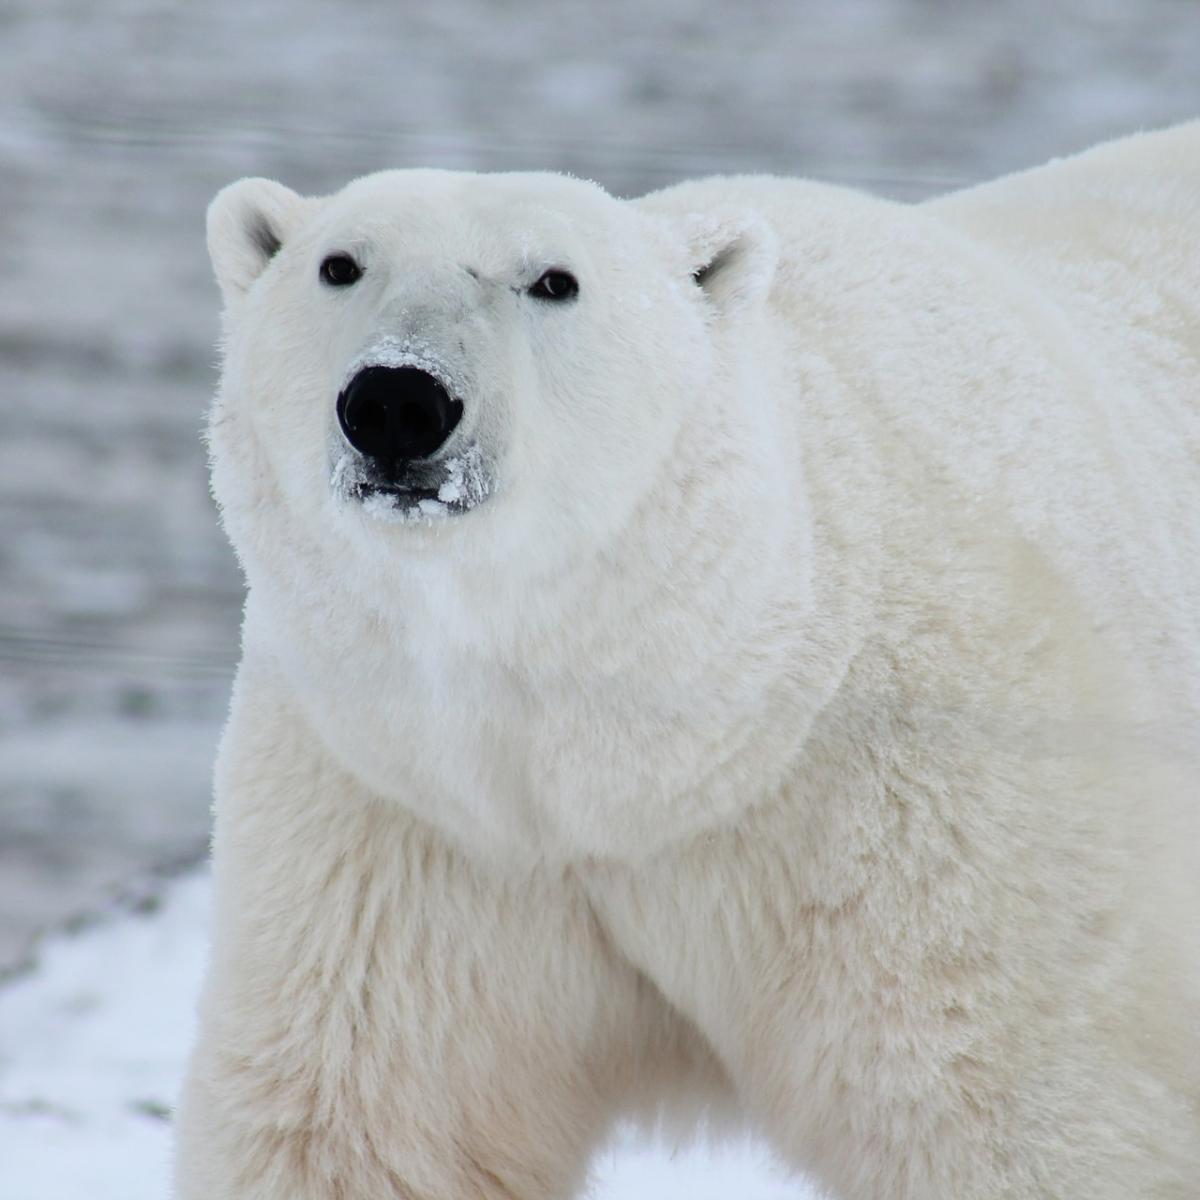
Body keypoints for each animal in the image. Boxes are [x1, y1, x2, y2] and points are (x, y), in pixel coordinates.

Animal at [175, 122, 1200, 1200]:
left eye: (553, 280)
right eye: (339, 264)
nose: (398, 400)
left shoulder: (935, 816)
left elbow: (1010, 1110)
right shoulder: (404, 817)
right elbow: (365, 1121)